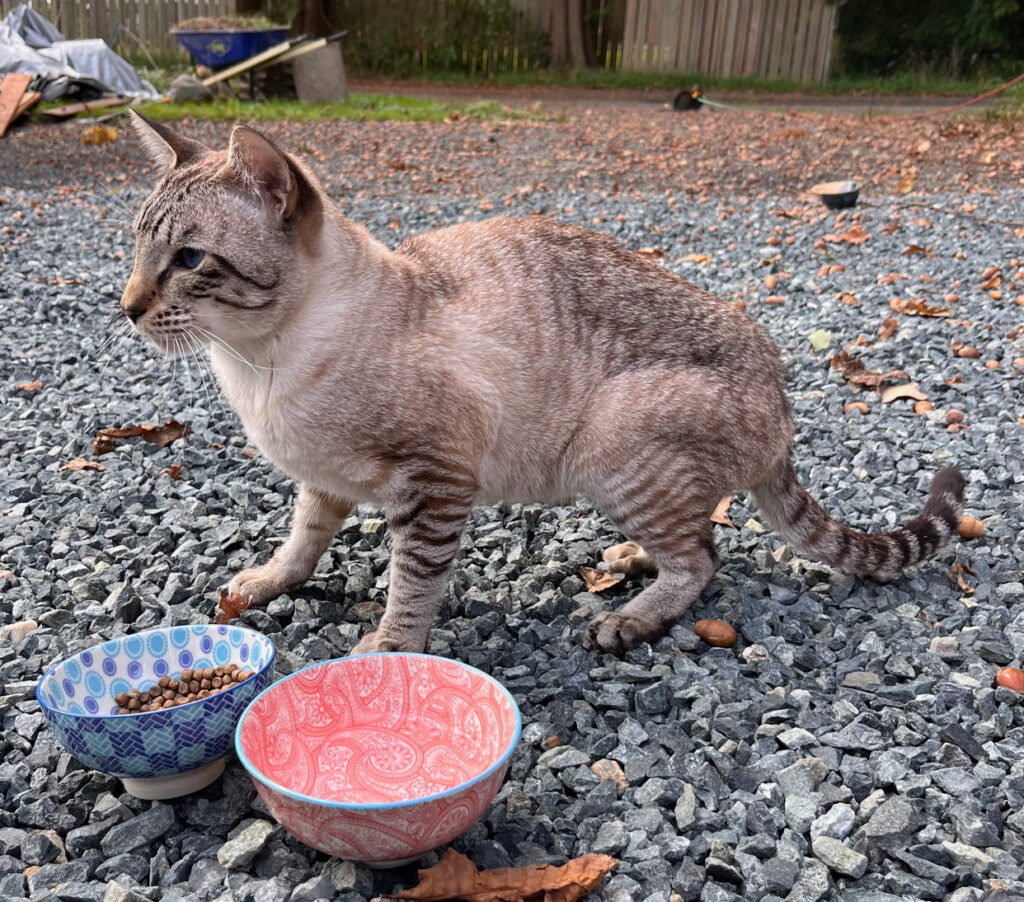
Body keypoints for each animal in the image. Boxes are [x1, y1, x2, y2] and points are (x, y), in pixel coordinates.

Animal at [121, 116, 966, 659]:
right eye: (136, 248)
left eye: (189, 260)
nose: (126, 307)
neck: (258, 367)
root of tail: (781, 388)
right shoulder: (321, 480)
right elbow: (300, 543)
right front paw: (265, 584)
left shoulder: (434, 485)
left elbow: (410, 587)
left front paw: (387, 649)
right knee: (699, 532)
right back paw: (630, 558)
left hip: (611, 445)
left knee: (702, 560)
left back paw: (630, 617)